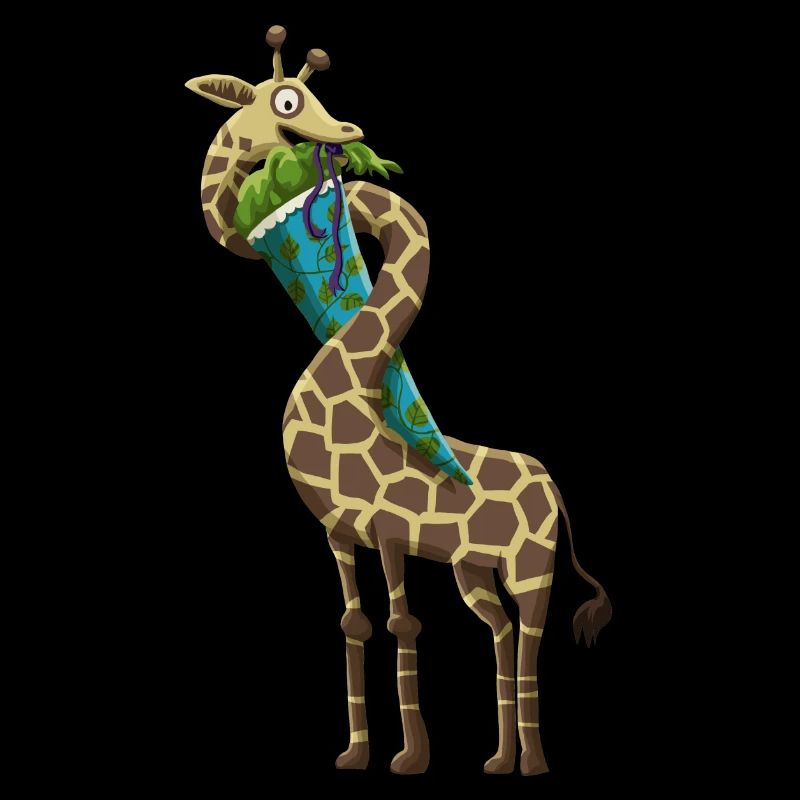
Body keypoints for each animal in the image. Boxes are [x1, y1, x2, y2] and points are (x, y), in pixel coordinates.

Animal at [187, 26, 612, 776]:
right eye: (286, 100)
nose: (347, 133)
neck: (349, 389)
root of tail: (554, 487)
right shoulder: (339, 533)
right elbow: (355, 623)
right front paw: (356, 753)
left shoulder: (388, 530)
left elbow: (401, 620)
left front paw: (409, 757)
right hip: (475, 570)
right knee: (500, 630)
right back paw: (497, 760)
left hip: (533, 566)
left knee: (533, 638)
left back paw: (533, 762)